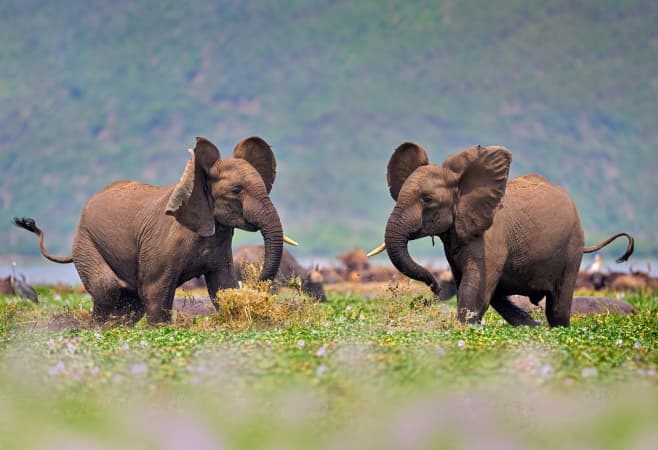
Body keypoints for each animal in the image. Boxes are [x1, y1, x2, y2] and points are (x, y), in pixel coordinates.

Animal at [14, 136, 290, 325]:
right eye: (236, 190)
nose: (256, 282)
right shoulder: (163, 244)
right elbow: (155, 292)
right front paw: (160, 329)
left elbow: (223, 287)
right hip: (85, 241)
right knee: (107, 288)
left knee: (130, 301)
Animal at [372, 143, 634, 327]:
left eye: (427, 199)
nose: (433, 288)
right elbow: (471, 284)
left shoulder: (490, 238)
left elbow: (474, 286)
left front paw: (463, 329)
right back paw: (534, 327)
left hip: (573, 246)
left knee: (557, 307)